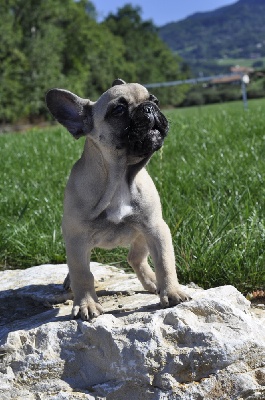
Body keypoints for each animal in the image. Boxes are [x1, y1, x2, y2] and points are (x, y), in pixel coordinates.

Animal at [46, 79, 190, 320]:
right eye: (119, 110)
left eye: (155, 100)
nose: (149, 108)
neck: (119, 177)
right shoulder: (76, 239)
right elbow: (82, 273)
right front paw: (86, 304)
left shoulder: (156, 228)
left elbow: (165, 262)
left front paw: (172, 292)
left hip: (142, 235)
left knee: (136, 258)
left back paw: (153, 281)